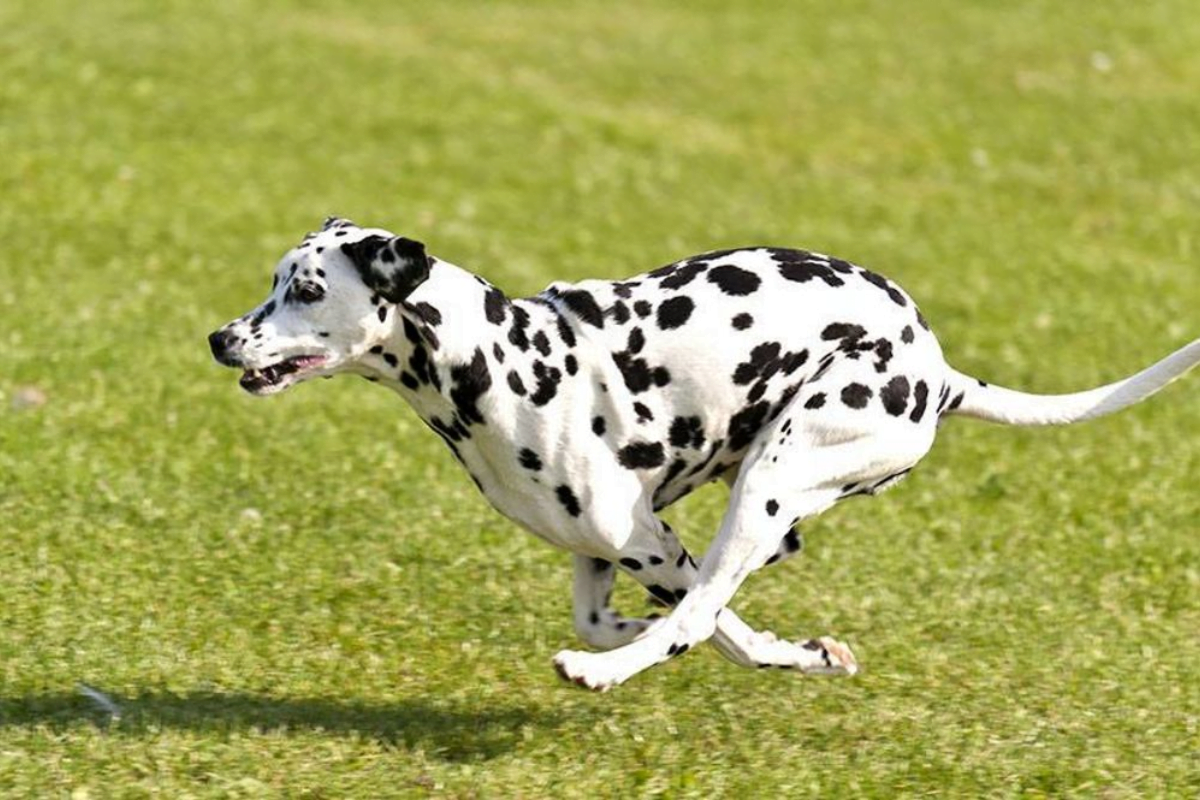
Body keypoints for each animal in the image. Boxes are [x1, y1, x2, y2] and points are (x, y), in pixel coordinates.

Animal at [208, 215, 1200, 690]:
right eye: (275, 281)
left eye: (305, 290)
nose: (221, 339)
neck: (496, 360)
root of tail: (939, 370)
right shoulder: (607, 548)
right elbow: (616, 615)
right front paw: (785, 647)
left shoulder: (646, 539)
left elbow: (707, 625)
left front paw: (758, 650)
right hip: (766, 493)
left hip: (768, 482)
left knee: (699, 614)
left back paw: (604, 676)